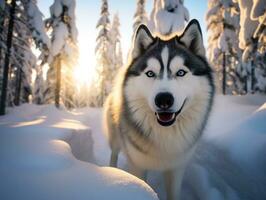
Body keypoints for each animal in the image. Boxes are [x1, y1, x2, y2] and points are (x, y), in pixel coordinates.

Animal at [103, 19, 215, 200]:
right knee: (114, 152)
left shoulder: (176, 168)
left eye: (181, 72)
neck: (165, 134)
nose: (163, 99)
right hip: (115, 137)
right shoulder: (138, 165)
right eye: (150, 73)